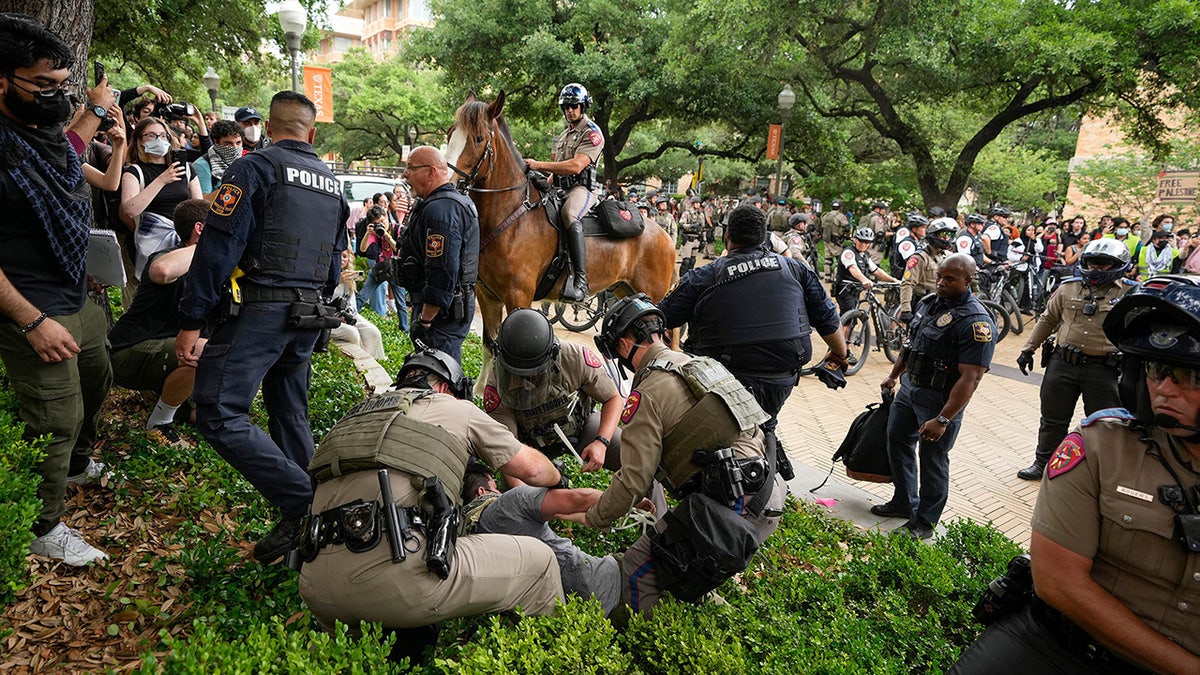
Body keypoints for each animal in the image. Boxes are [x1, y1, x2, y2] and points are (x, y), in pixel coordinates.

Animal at [448, 91, 681, 345]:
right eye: (450, 133)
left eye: (478, 138)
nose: (448, 182)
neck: (513, 217)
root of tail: (665, 236)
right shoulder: (488, 296)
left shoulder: (518, 297)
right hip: (626, 291)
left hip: (653, 297)